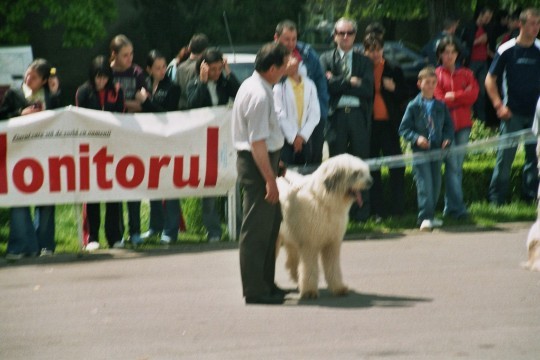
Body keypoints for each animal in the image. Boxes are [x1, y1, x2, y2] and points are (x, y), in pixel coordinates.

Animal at [278, 154, 372, 298]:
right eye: (356, 173)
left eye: (365, 172)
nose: (370, 182)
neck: (323, 200)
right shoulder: (309, 244)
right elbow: (309, 267)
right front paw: (309, 291)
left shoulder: (332, 243)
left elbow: (333, 266)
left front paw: (339, 288)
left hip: (291, 238)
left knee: (292, 261)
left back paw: (296, 279)